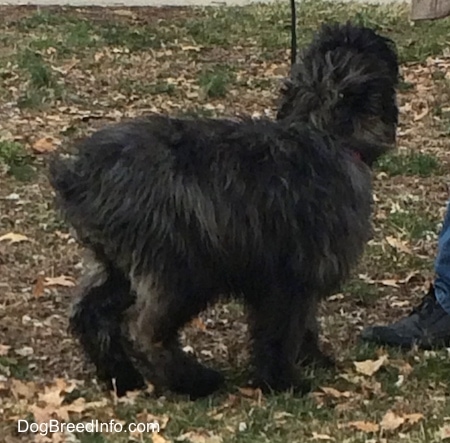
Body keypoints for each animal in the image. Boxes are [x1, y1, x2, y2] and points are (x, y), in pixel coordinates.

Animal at [49, 22, 400, 400]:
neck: (322, 133)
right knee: (144, 330)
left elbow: (300, 325)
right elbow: (281, 332)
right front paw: (284, 381)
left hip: (118, 265)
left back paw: (121, 376)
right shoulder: (291, 278)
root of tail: (80, 175)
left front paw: (311, 359)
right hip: (186, 269)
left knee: (90, 315)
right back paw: (196, 381)